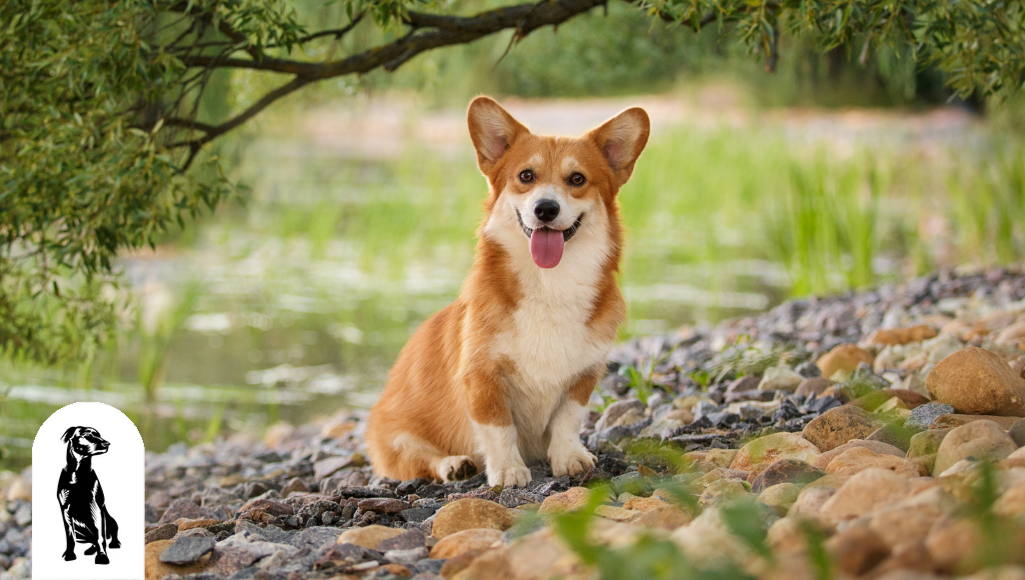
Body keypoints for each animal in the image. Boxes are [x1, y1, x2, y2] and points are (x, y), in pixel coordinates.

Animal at [366, 97, 647, 489]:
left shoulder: (584, 375)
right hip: (397, 436)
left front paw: (569, 458)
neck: (551, 284)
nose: (546, 209)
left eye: (577, 179)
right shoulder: (483, 377)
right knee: (418, 459)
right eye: (526, 176)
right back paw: (454, 465)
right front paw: (509, 471)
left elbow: (567, 419)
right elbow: (500, 428)